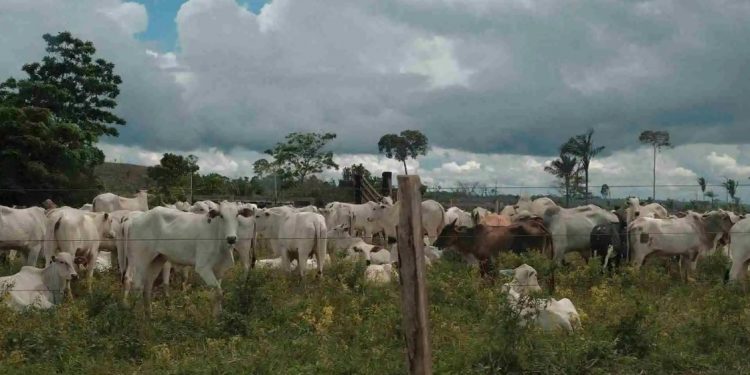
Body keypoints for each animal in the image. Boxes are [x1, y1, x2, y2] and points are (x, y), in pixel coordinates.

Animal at [123, 203, 253, 318]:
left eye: (237, 215)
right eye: (221, 215)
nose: (231, 238)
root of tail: (134, 219)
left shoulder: (219, 270)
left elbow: (218, 292)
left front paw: (217, 316)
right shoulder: (203, 268)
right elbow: (219, 293)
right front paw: (215, 318)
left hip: (157, 259)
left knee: (148, 286)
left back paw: (149, 316)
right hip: (140, 260)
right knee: (137, 285)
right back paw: (140, 318)